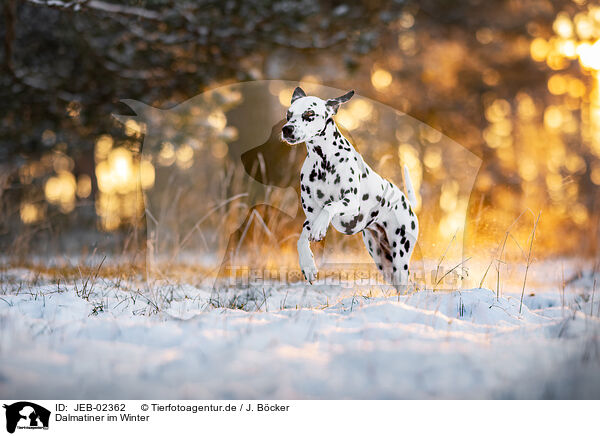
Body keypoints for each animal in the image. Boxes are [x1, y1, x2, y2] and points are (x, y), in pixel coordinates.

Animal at [282, 87, 418, 288]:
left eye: (309, 114)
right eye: (288, 115)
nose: (287, 129)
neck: (323, 161)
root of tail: (406, 202)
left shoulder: (351, 202)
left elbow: (330, 205)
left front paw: (320, 227)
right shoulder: (311, 215)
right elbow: (301, 240)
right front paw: (308, 266)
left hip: (400, 259)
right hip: (383, 261)